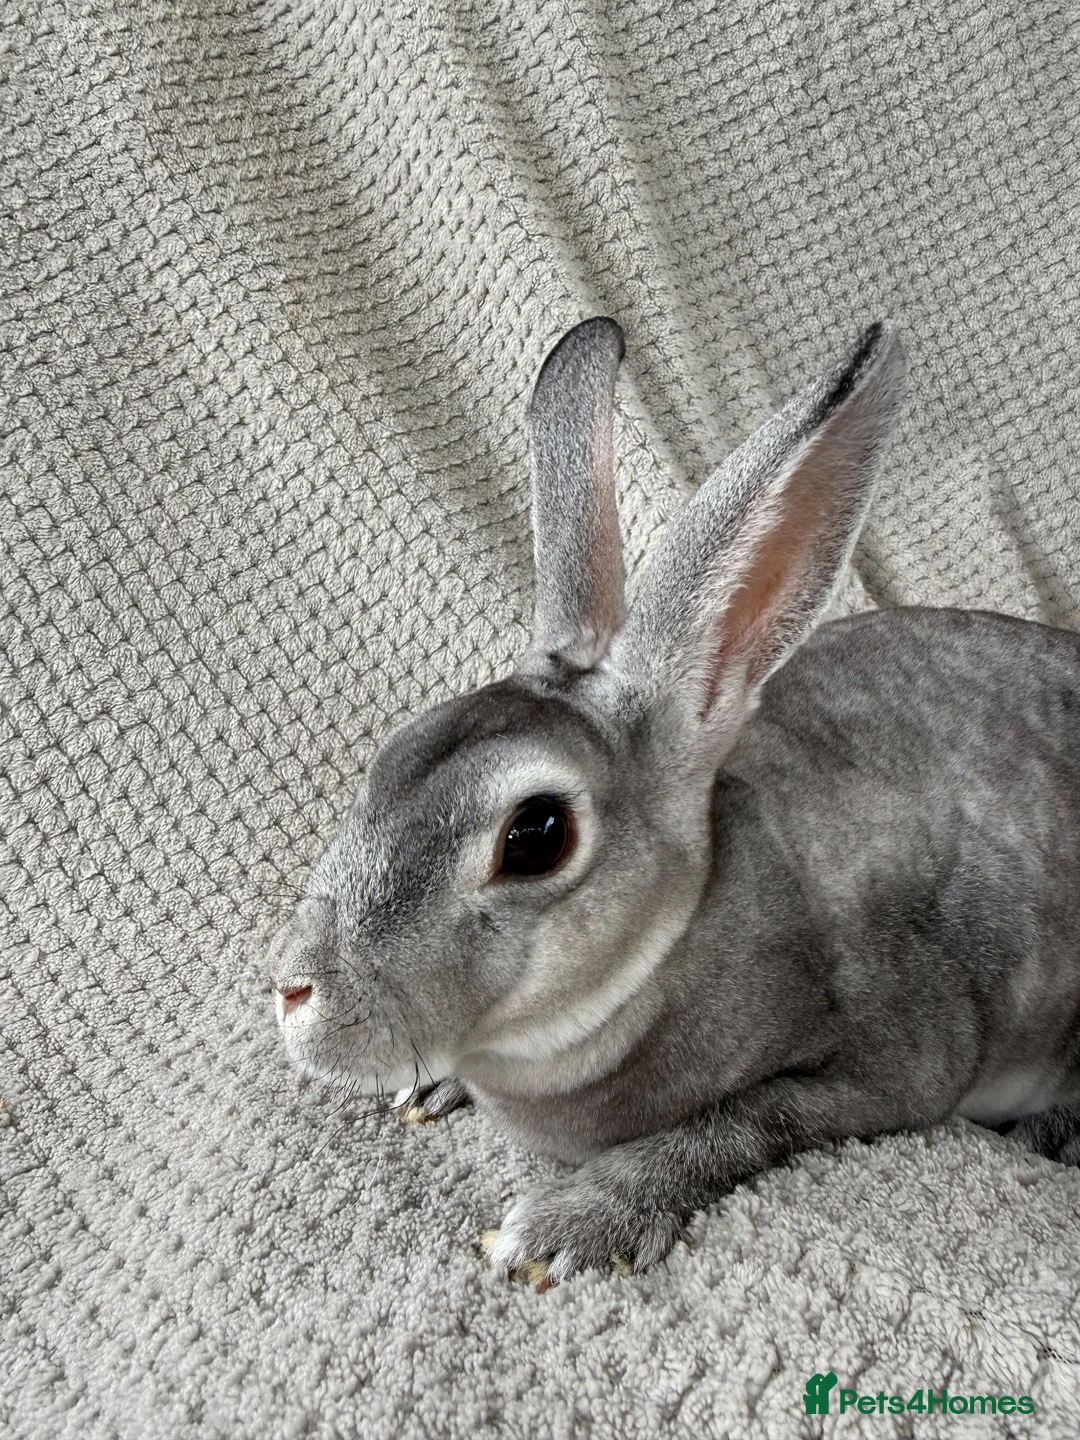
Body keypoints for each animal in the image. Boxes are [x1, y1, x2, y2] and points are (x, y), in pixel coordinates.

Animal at [268, 316, 1080, 1290]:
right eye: (392, 753)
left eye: (535, 836)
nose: (294, 991)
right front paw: (433, 1087)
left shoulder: (890, 1067)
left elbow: (735, 1125)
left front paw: (566, 1227)